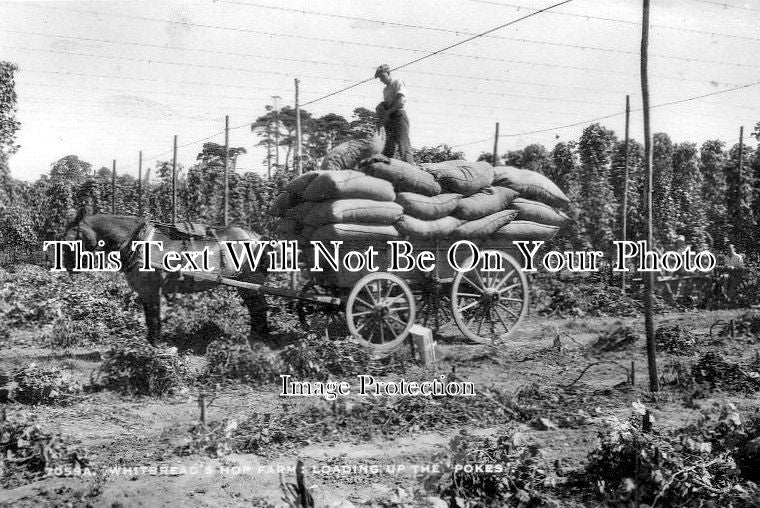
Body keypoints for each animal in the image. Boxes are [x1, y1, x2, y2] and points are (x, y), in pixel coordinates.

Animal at [62, 212, 272, 348]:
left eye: (71, 240)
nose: (69, 268)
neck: (138, 242)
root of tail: (256, 236)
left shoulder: (152, 290)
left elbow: (154, 318)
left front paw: (156, 345)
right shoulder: (145, 291)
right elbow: (149, 317)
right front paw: (150, 344)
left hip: (250, 281)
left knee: (259, 308)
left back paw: (258, 339)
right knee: (257, 308)